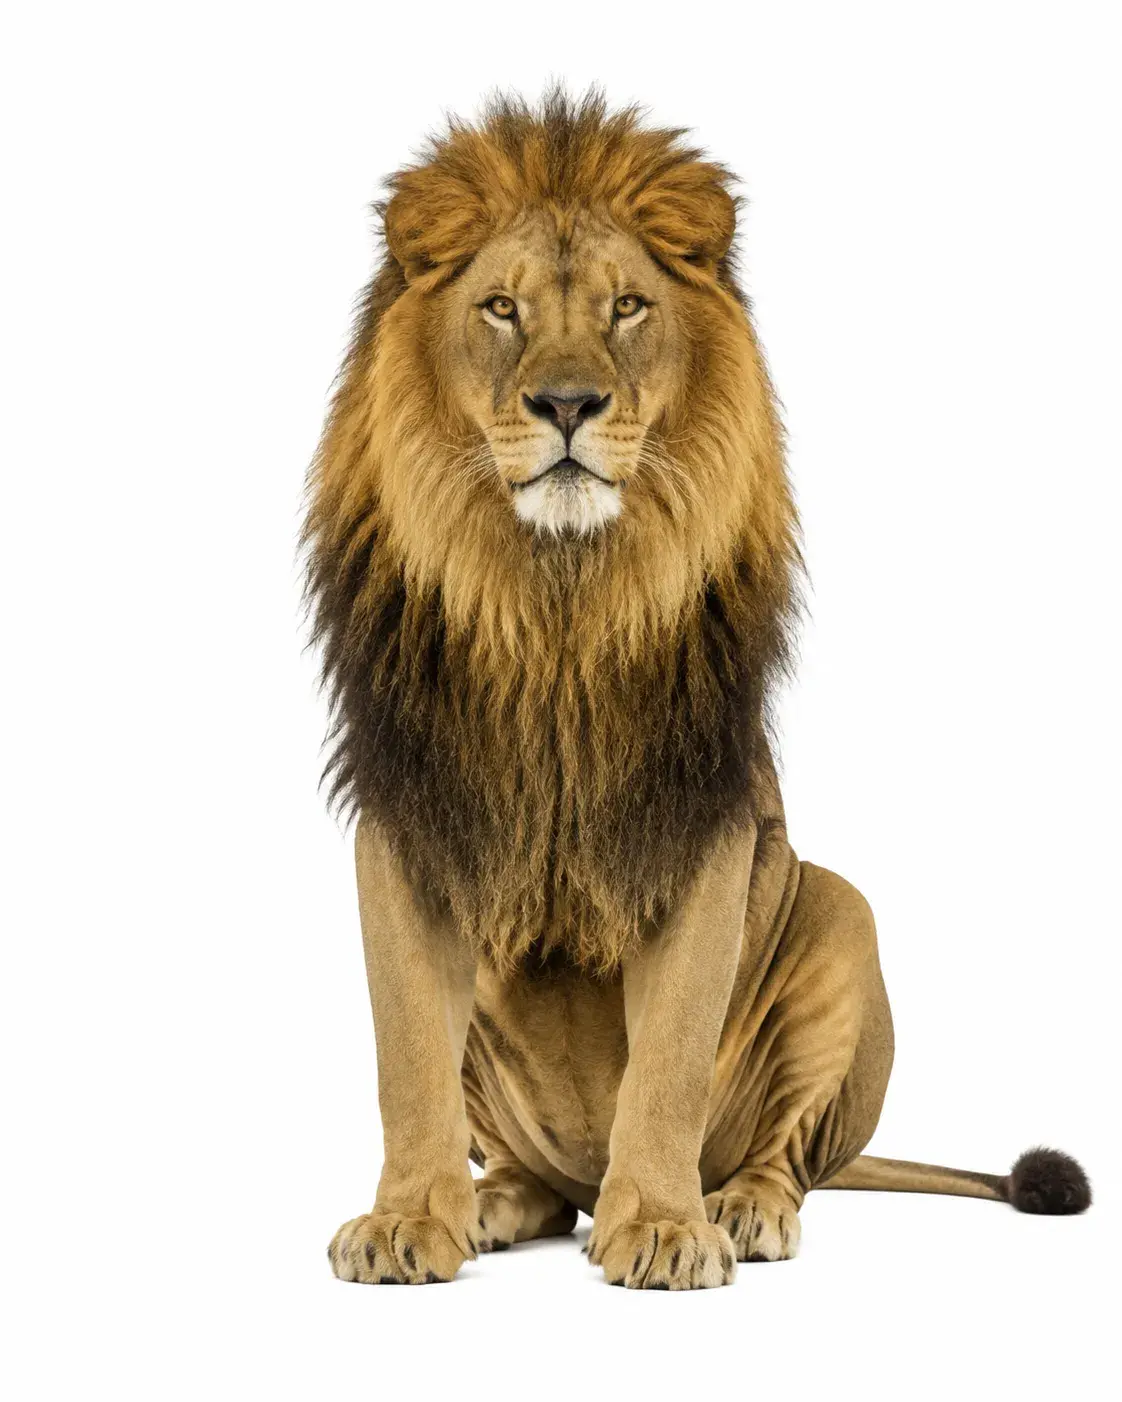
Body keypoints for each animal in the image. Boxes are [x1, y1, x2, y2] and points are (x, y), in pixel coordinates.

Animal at [305, 90, 1090, 1289]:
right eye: (501, 309)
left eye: (627, 307)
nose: (568, 403)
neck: (557, 603)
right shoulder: (411, 819)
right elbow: (405, 1054)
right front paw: (407, 1219)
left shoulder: (702, 821)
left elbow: (670, 1055)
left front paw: (668, 1227)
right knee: (539, 1174)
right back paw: (498, 1201)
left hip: (840, 911)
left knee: (789, 1152)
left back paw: (739, 1209)